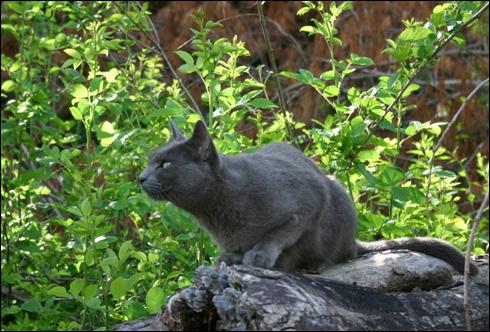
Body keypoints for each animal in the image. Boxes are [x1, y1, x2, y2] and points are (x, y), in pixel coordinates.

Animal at [138, 120, 478, 276]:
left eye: (165, 164)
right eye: (150, 160)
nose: (140, 177)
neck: (215, 213)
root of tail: (353, 241)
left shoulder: (309, 201)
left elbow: (280, 232)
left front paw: (258, 255)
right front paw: (231, 256)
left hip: (335, 196)